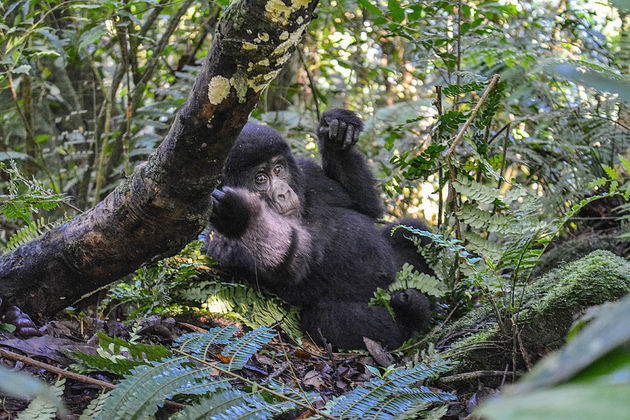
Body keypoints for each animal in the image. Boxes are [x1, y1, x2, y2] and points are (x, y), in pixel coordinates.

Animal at [207, 107, 434, 348]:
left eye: (278, 170)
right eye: (260, 178)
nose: (283, 193)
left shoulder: (307, 171)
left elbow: (365, 207)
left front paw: (338, 133)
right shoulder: (212, 234)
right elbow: (294, 265)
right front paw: (242, 217)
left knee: (408, 230)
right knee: (327, 318)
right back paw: (408, 318)